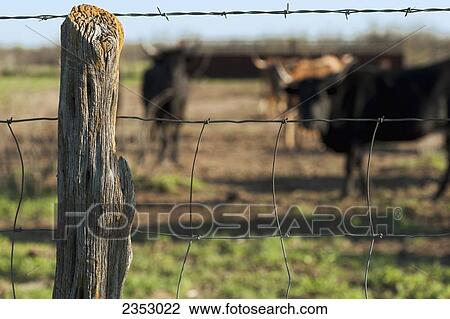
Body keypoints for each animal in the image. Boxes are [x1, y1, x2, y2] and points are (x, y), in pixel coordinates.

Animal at [286, 60, 450, 200]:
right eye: (301, 96)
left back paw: (438, 194)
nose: (310, 122)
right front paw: (364, 190)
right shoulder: (359, 140)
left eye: (321, 96)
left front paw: (347, 193)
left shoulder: (355, 138)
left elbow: (350, 165)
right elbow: (359, 164)